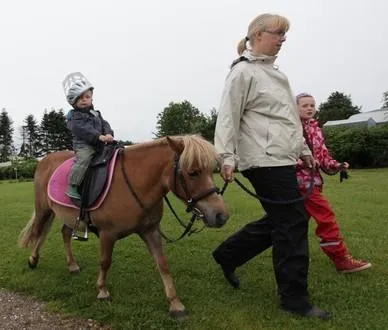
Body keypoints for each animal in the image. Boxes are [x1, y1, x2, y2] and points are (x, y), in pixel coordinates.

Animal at [18, 135, 229, 318]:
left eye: (211, 171)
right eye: (193, 172)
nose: (221, 216)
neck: (135, 183)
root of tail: (45, 160)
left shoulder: (150, 231)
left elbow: (163, 264)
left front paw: (175, 304)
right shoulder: (107, 234)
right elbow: (105, 261)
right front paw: (102, 291)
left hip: (67, 215)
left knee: (63, 233)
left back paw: (72, 265)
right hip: (44, 209)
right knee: (38, 232)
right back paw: (33, 260)